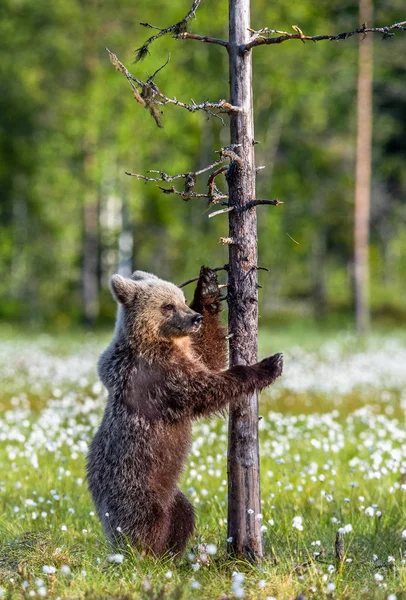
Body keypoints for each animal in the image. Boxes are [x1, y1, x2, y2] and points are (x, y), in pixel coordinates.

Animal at [85, 268, 282, 556]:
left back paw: (172, 554)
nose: (194, 318)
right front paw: (268, 365)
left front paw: (208, 289)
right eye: (168, 306)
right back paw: (146, 554)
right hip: (135, 485)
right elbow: (203, 388)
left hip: (170, 493)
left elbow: (209, 355)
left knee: (183, 512)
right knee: (146, 523)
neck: (158, 341)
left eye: (181, 299)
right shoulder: (160, 376)